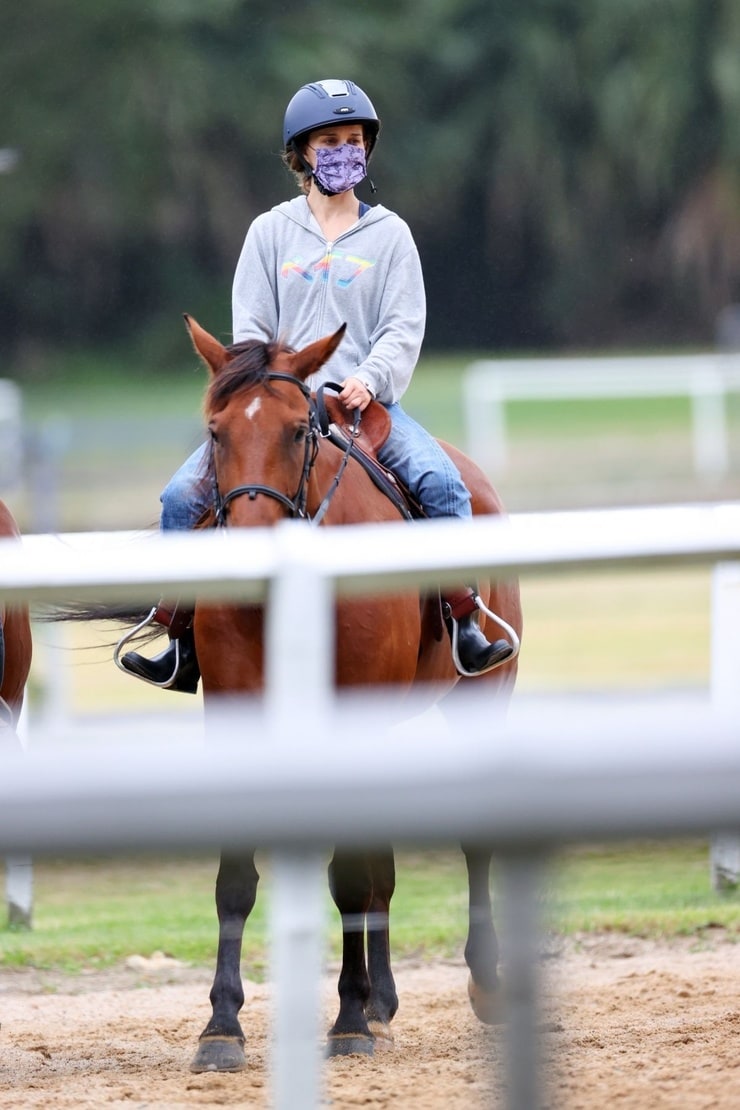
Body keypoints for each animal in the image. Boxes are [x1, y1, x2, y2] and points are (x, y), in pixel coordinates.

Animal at [181, 317, 523, 1070]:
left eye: (295, 431)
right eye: (216, 431)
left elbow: (350, 877)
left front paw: (347, 1018)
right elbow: (236, 882)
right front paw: (221, 1025)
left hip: (480, 701)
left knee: (471, 847)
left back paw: (482, 987)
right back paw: (384, 1001)